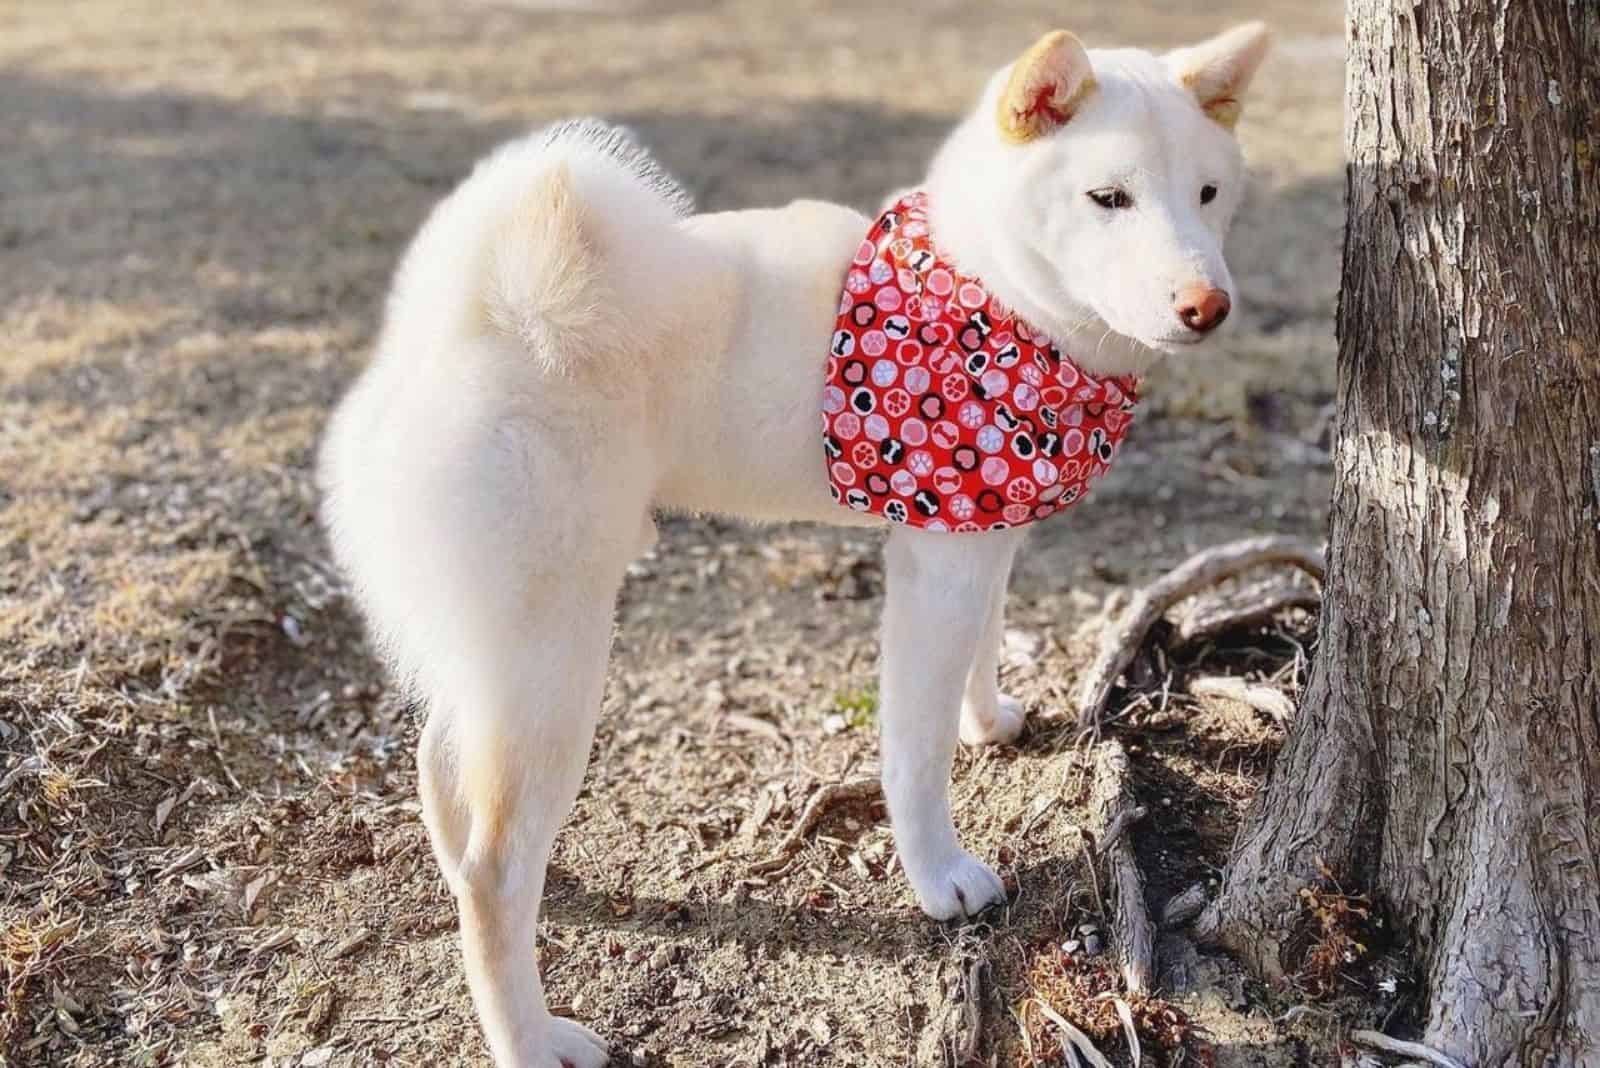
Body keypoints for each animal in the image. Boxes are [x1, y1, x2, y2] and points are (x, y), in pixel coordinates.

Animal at [321, 20, 1273, 1061]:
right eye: (1110, 198)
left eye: (1208, 194)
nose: (1207, 305)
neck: (993, 288)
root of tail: (459, 321)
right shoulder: (935, 566)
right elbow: (913, 754)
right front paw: (939, 875)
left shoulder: (982, 536)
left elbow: (983, 652)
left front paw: (989, 721)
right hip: (556, 662)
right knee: (496, 873)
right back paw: (528, 1034)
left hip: (498, 653)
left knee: (442, 773)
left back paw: (502, 882)